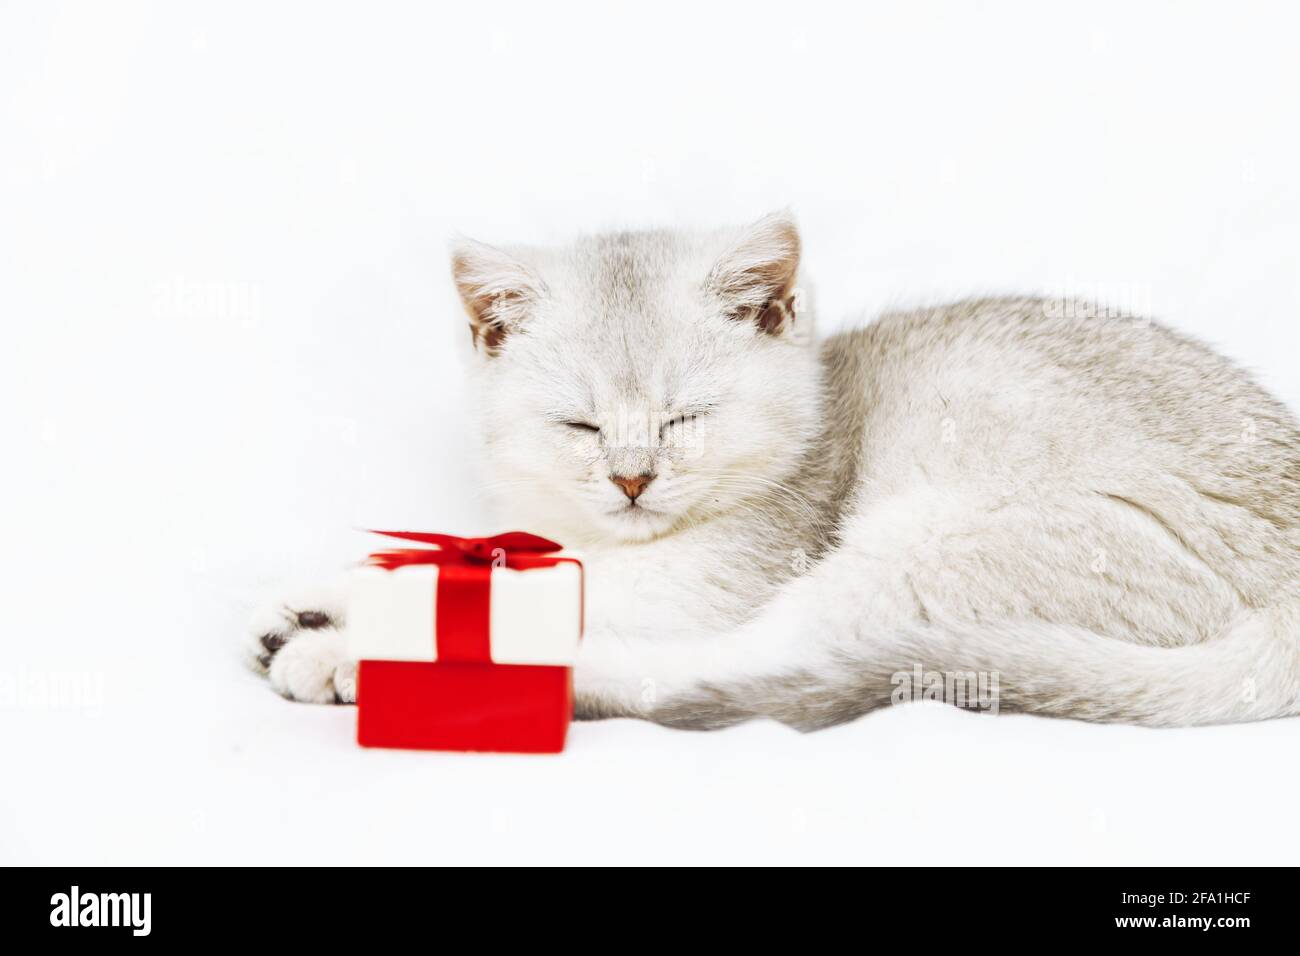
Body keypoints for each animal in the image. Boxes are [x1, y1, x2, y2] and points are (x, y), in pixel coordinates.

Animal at [250, 213, 1300, 728]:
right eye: (582, 426)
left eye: (683, 419)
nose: (632, 479)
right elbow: (505, 555)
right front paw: (332, 590)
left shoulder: (710, 582)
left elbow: (541, 591)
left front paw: (349, 625)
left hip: (926, 550)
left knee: (736, 669)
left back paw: (362, 669)